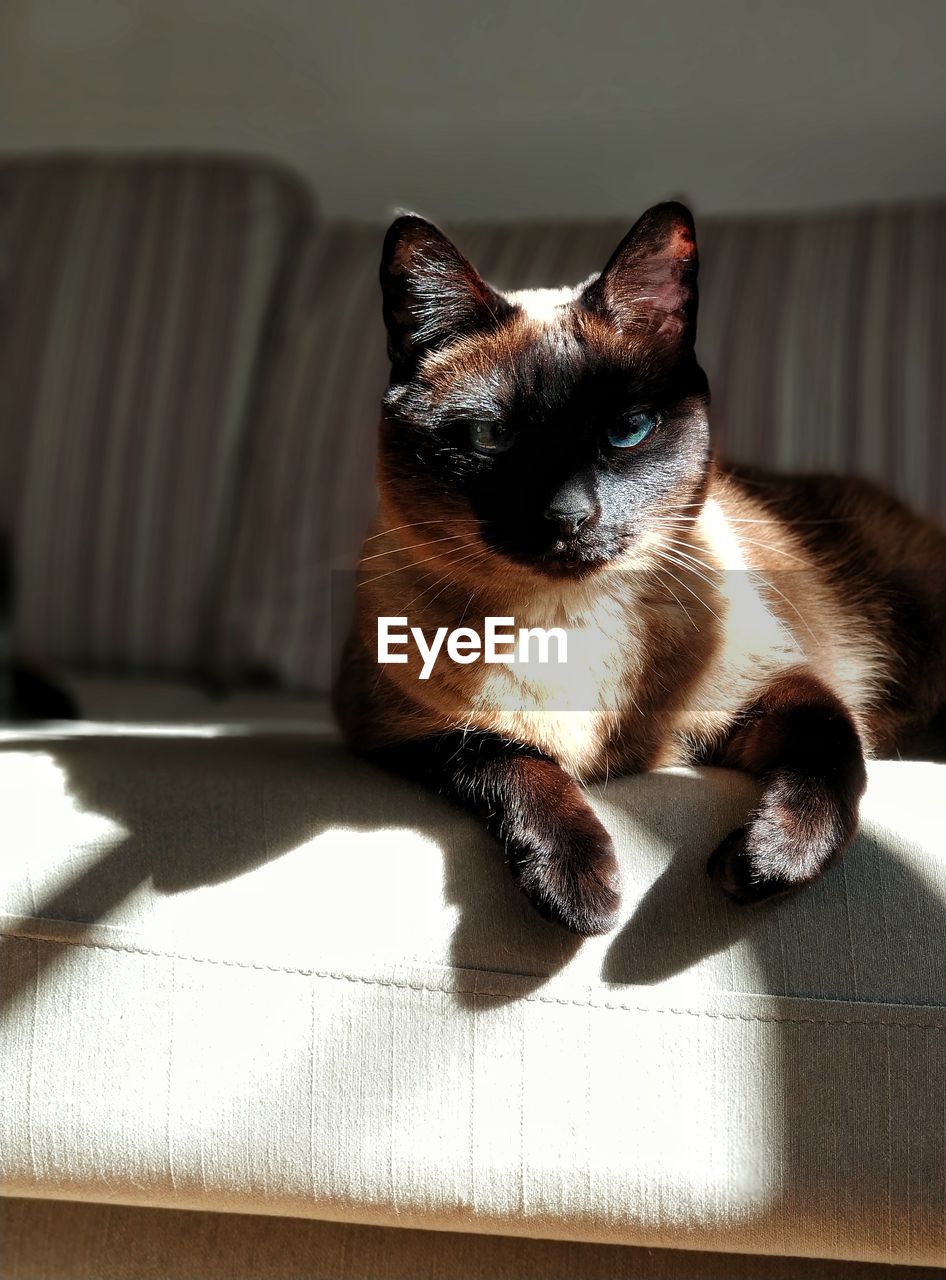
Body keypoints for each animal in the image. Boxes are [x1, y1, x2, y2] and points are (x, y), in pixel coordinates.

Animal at [337, 202, 946, 942]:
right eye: (490, 438)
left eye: (627, 430)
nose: (568, 516)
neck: (567, 628)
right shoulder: (402, 735)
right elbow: (516, 764)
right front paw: (583, 895)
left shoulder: (776, 691)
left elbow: (833, 755)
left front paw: (760, 863)